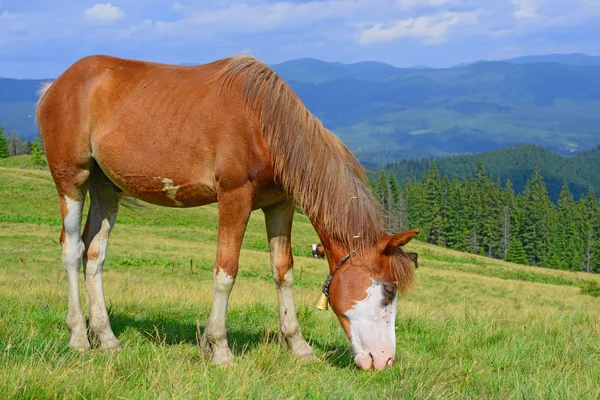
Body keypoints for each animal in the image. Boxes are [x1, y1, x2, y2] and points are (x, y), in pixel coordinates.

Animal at [37, 54, 420, 370]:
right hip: (72, 179)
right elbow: (226, 272)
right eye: (389, 291)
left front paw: (298, 346)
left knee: (94, 255)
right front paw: (218, 347)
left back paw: (107, 338)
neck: (264, 123)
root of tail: (54, 86)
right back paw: (79, 336)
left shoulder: (280, 204)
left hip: (106, 188)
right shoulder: (235, 198)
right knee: (71, 249)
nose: (384, 361)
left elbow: (284, 272)